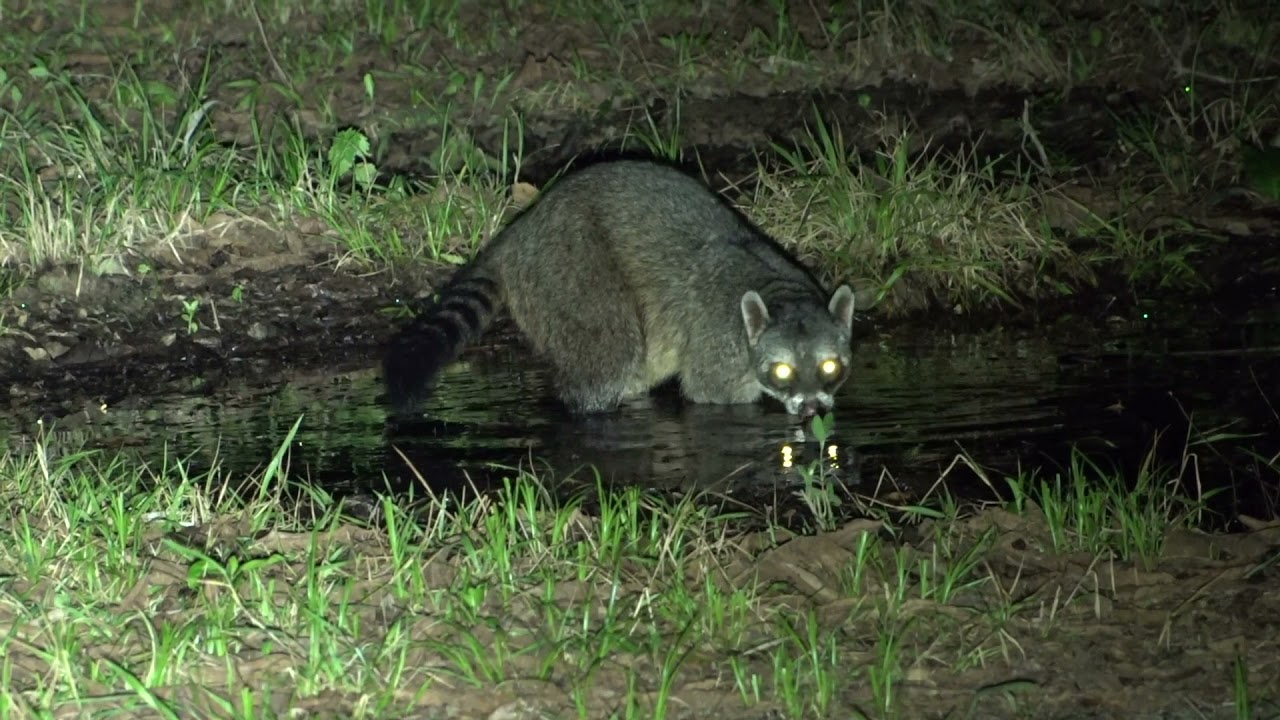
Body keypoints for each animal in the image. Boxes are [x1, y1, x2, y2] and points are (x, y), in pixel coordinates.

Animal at [383, 159, 857, 418]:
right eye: (783, 371)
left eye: (830, 366)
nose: (813, 410)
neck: (781, 295)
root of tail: (521, 230)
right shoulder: (718, 343)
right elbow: (713, 396)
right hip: (571, 269)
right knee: (608, 355)